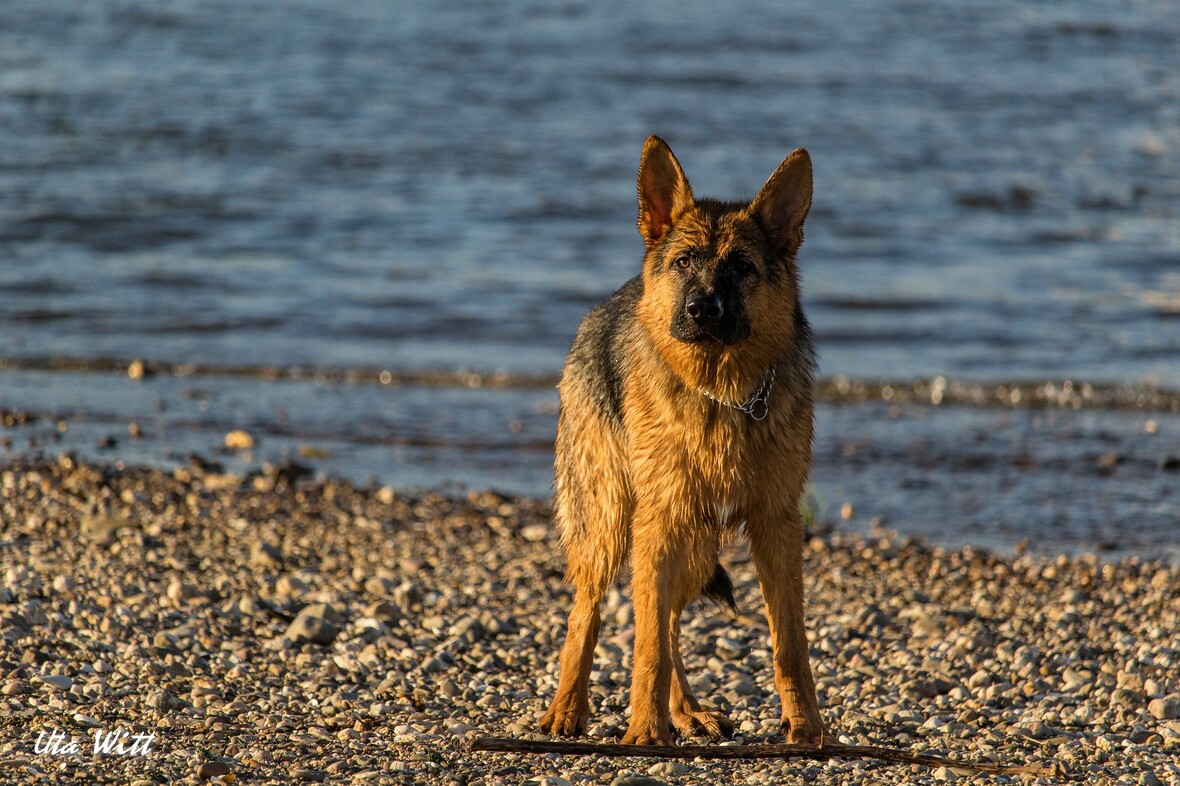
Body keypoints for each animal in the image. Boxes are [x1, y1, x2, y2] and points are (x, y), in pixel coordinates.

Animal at [540, 137, 825, 745]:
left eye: (741, 267)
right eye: (684, 263)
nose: (700, 308)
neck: (722, 395)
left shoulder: (776, 524)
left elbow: (790, 643)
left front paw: (809, 727)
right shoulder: (659, 522)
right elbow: (645, 644)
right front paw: (644, 731)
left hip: (692, 546)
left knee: (668, 623)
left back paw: (686, 709)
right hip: (614, 523)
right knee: (590, 611)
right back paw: (568, 706)